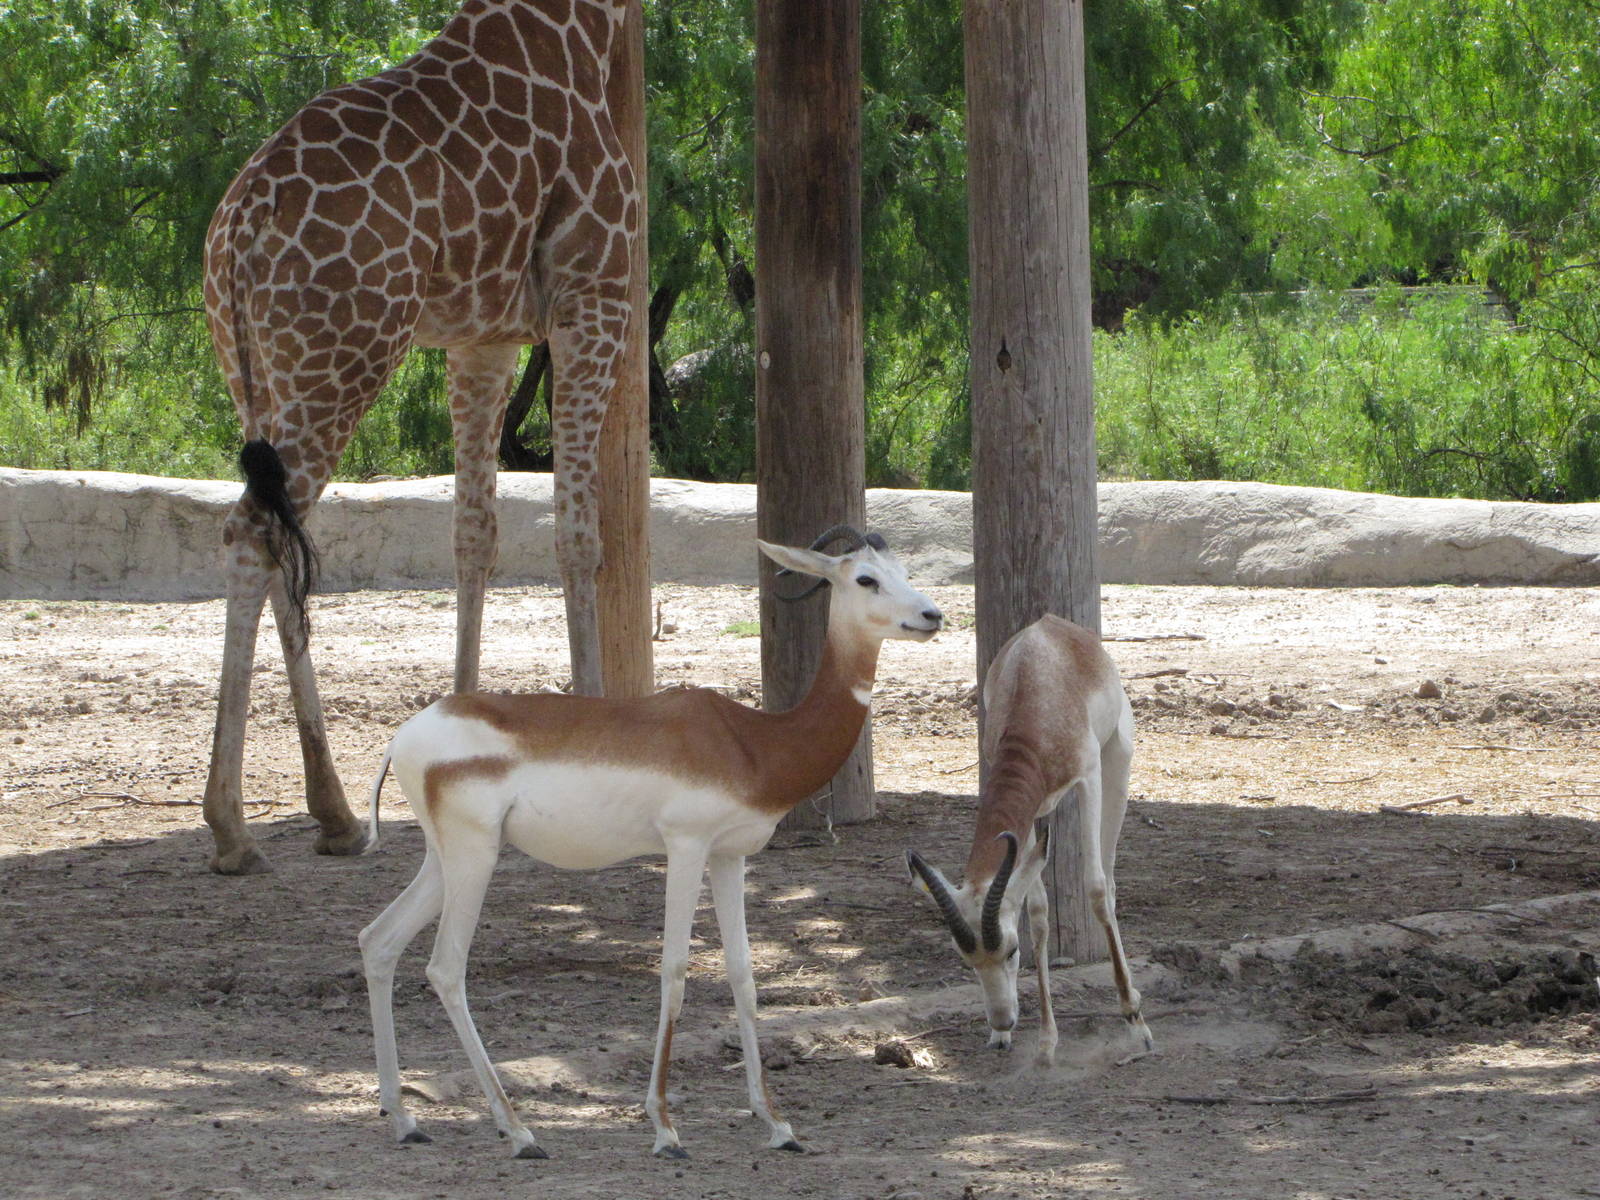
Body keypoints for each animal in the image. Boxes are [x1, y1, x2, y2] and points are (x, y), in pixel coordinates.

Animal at [200, 0, 640, 875]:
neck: (583, 28)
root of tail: (244, 222)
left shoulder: (484, 337)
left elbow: (474, 535)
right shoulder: (595, 294)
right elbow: (579, 534)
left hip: (255, 374)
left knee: (276, 538)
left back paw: (335, 814)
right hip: (342, 361)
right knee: (251, 534)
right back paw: (232, 826)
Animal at [358, 527, 943, 1159]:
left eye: (905, 571)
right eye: (865, 578)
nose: (932, 615)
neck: (753, 741)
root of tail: (403, 736)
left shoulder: (730, 854)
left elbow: (743, 975)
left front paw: (778, 1124)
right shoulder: (686, 846)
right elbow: (675, 970)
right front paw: (665, 1128)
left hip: (444, 859)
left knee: (378, 940)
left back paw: (403, 1119)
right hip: (474, 856)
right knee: (446, 968)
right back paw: (518, 1132)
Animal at [905, 614, 1153, 1066]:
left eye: (1011, 950)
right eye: (966, 959)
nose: (1002, 1019)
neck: (1035, 702)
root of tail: (1054, 622)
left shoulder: (1088, 779)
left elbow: (1094, 888)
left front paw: (1134, 1021)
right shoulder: (1029, 818)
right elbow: (1037, 912)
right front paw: (1044, 1042)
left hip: (1118, 761)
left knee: (1108, 881)